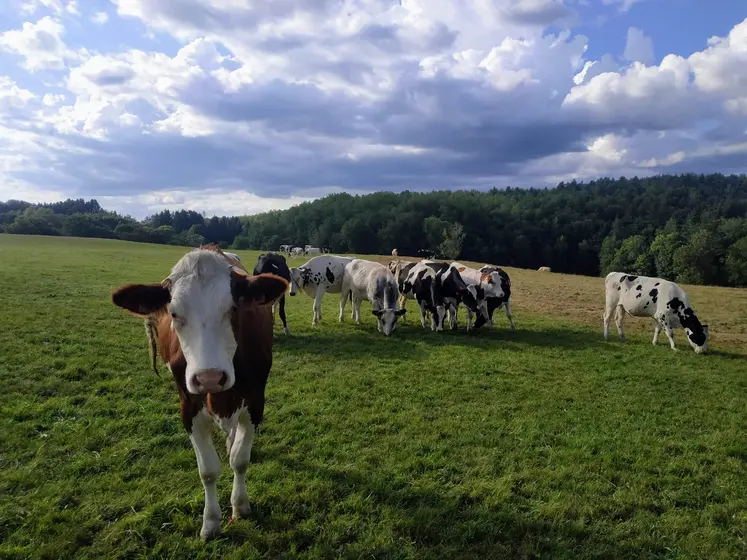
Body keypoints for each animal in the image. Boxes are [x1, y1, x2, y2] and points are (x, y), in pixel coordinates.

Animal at [109, 244, 288, 540]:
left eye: (233, 308)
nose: (209, 378)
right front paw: (211, 521)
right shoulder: (188, 407)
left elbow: (240, 460)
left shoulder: (255, 402)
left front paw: (240, 506)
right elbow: (208, 470)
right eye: (173, 313)